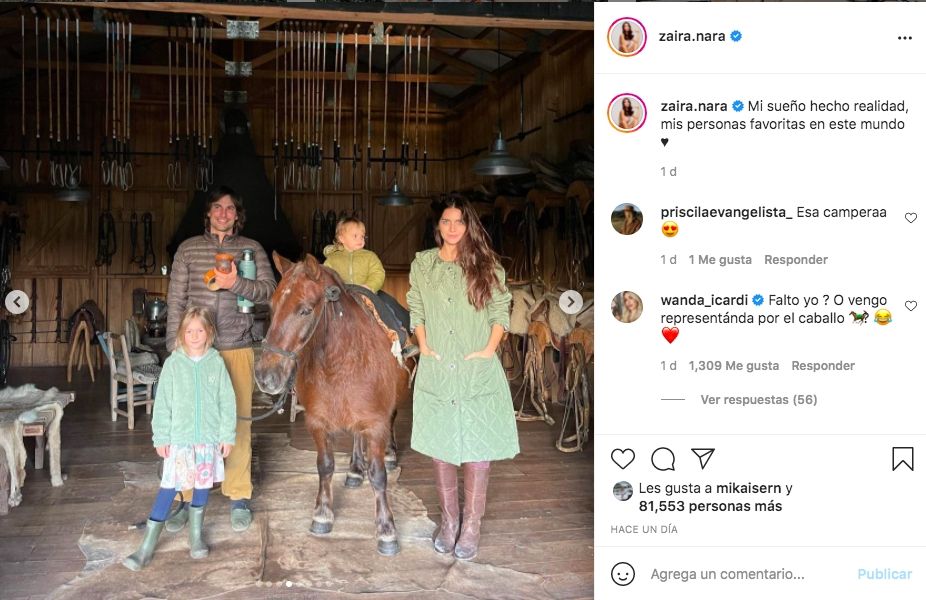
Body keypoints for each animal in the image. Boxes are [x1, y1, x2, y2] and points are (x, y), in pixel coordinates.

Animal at [255, 253, 411, 555]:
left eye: (304, 310)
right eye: (272, 306)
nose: (266, 376)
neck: (341, 360)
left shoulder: (375, 423)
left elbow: (379, 475)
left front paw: (386, 530)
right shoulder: (318, 422)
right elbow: (325, 466)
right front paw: (323, 514)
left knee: (392, 421)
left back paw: (390, 454)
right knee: (356, 439)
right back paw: (354, 471)